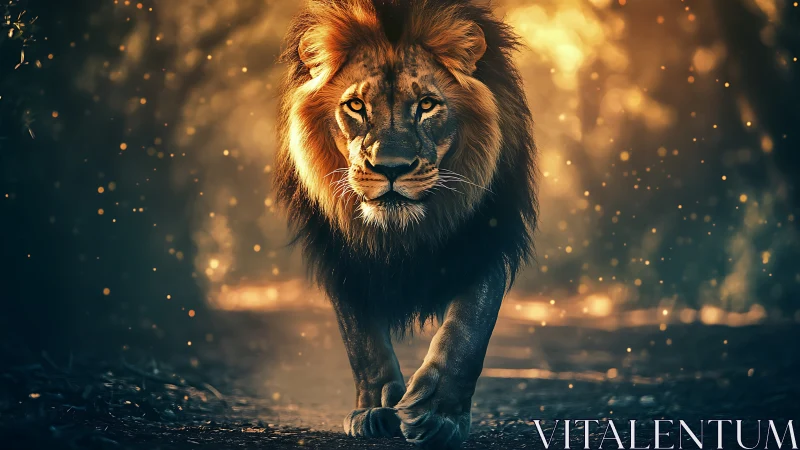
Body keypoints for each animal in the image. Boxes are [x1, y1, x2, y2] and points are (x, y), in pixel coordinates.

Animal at [275, 0, 537, 448]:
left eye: (427, 105)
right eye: (356, 106)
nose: (391, 168)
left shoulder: (484, 240)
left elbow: (466, 333)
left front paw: (437, 415)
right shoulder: (342, 257)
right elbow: (361, 339)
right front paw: (374, 409)